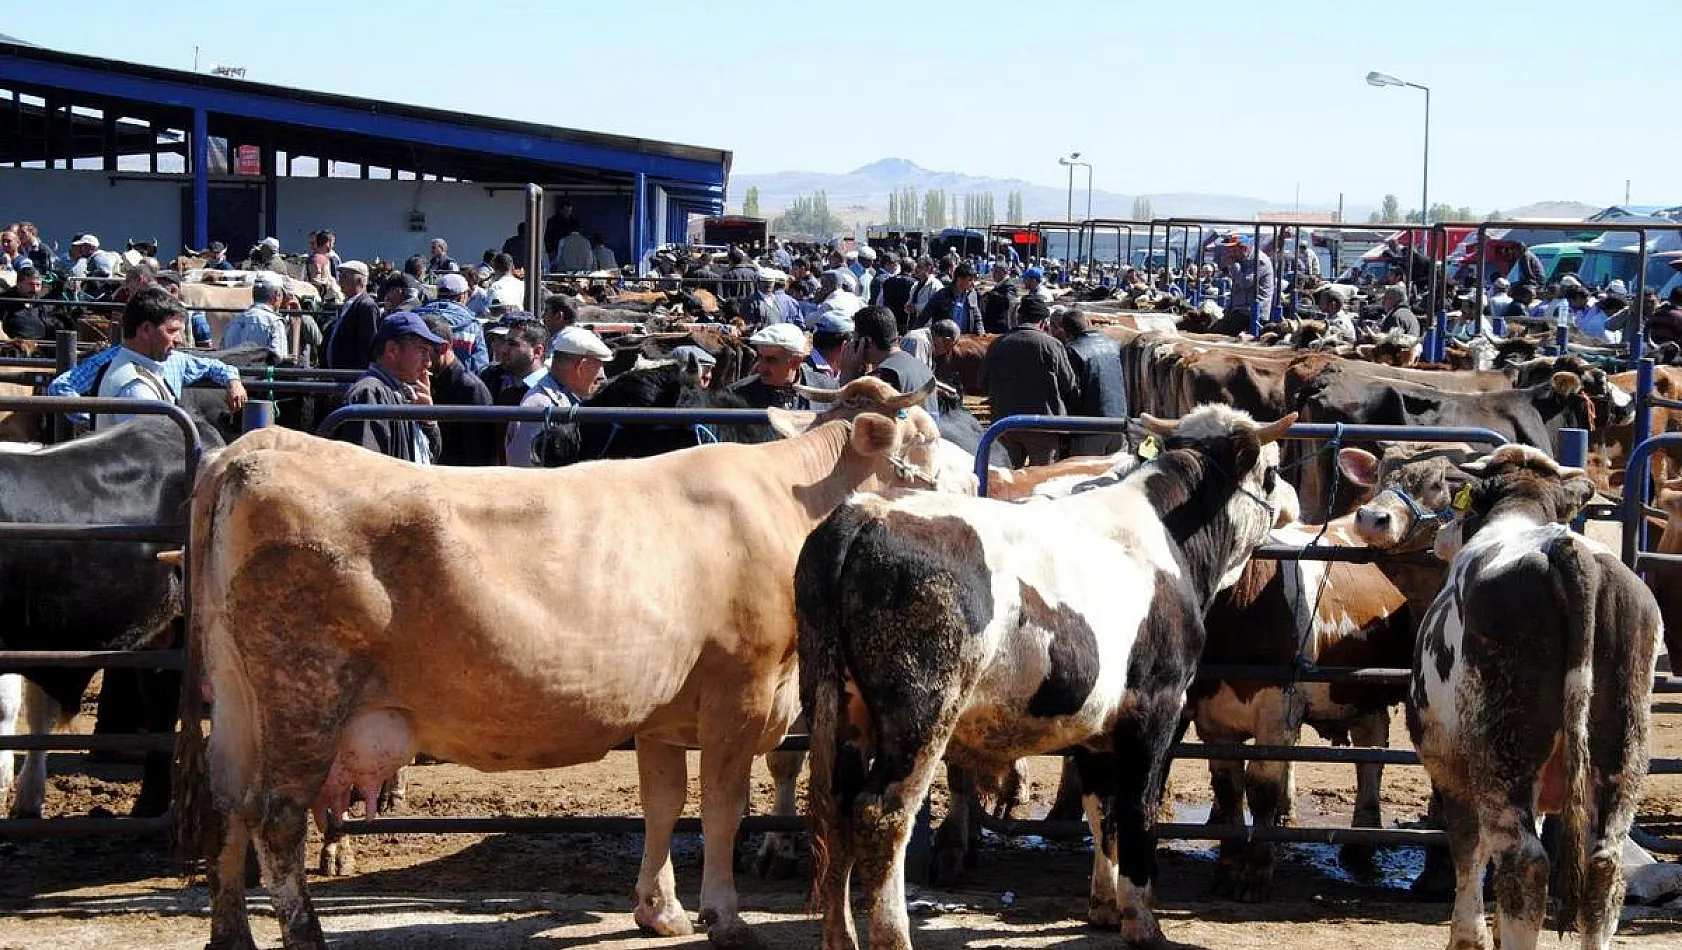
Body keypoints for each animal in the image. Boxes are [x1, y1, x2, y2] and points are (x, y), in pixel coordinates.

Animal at [177, 374, 955, 948]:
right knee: (277, 817)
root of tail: (253, 449)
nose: (970, 484)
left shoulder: (662, 711)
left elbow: (663, 803)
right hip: (305, 693)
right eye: (923, 439)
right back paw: (305, 935)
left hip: (238, 700)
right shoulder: (743, 688)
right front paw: (724, 916)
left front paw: (659, 910)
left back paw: (230, 935)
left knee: (227, 805)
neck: (787, 503)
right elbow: (722, 808)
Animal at [793, 403, 1291, 948]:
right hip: (921, 713)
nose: (1290, 503)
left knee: (835, 807)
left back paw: (840, 936)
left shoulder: (1097, 727)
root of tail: (864, 513)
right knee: (881, 815)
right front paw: (1142, 919)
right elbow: (1137, 808)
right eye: (1271, 472)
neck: (1169, 536)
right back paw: (893, 935)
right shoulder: (1157, 707)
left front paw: (1104, 906)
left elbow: (1102, 812)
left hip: (837, 705)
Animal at [1406, 443, 1655, 948]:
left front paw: (1469, 936)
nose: (1441, 534)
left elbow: (1468, 849)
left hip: (1503, 752)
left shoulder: (1451, 767)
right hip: (1624, 750)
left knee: (1524, 863)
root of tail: (1570, 550)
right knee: (1605, 864)